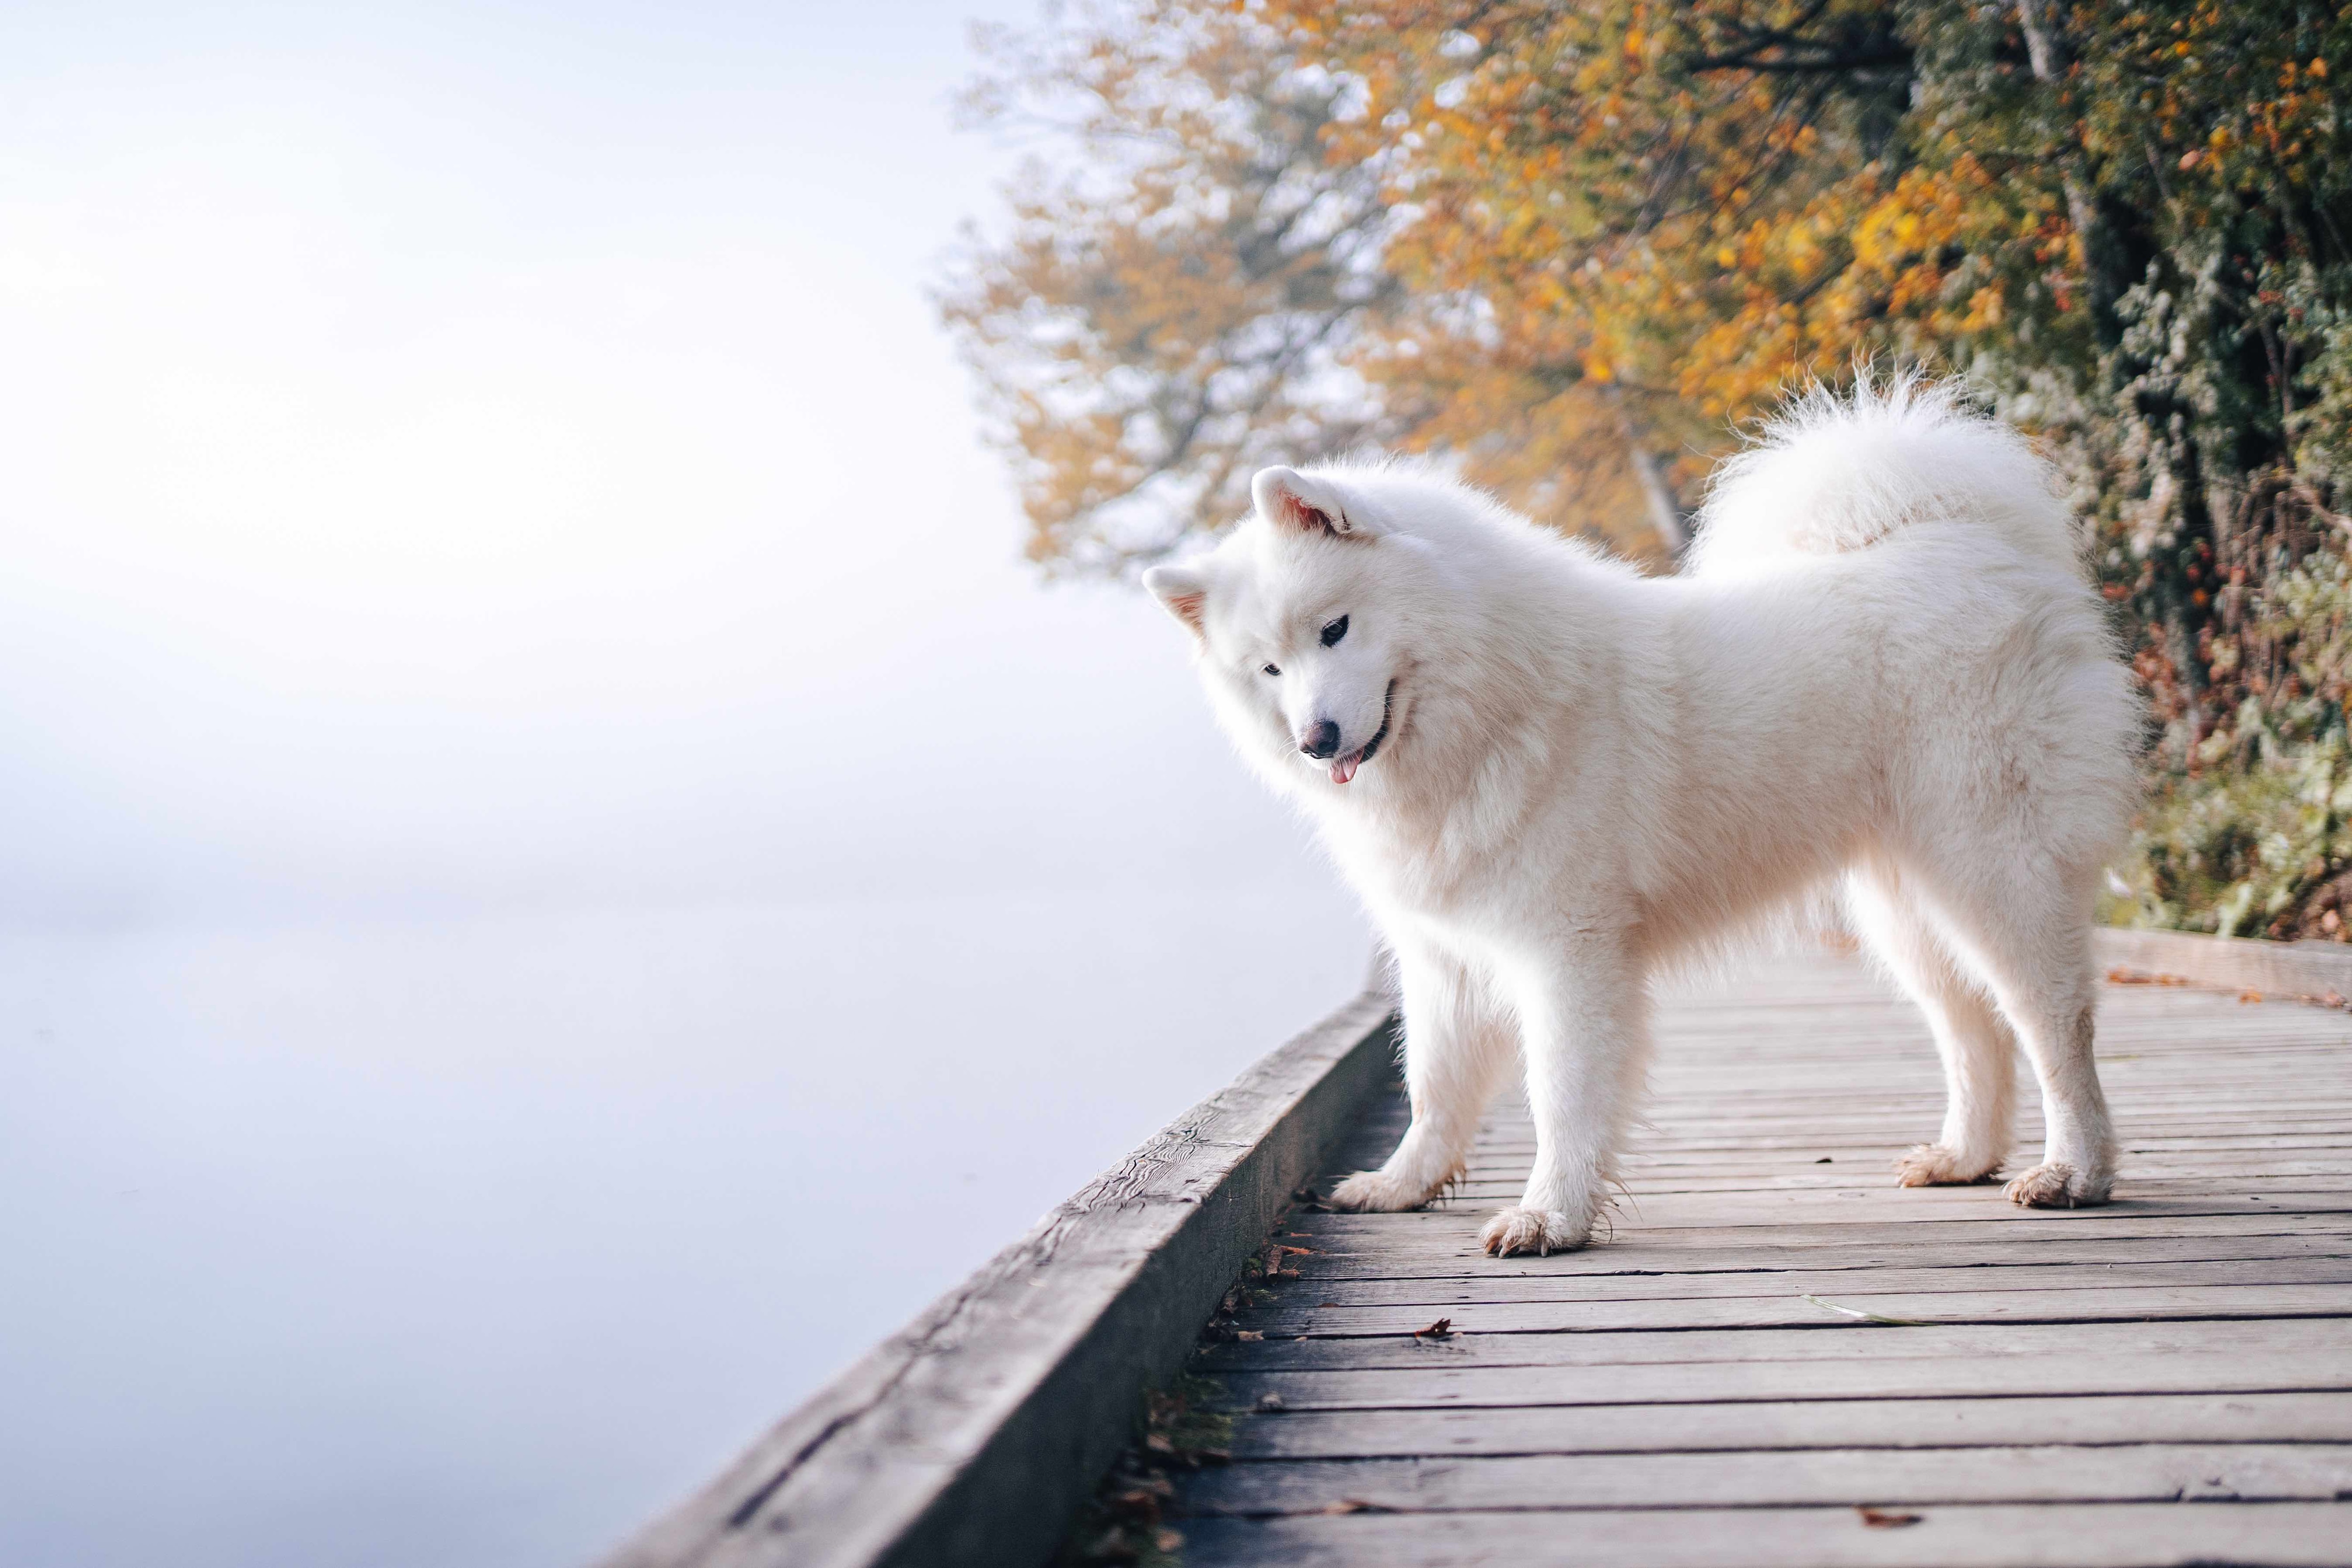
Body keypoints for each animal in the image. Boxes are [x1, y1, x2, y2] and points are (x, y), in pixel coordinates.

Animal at [1148, 383, 2145, 1260]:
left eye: (1335, 629)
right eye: (1268, 670)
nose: (1316, 739)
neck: (1492, 704)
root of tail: (1971, 540)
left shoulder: (1568, 951)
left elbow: (1560, 1093)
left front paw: (1550, 1218)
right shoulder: (1444, 954)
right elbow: (1432, 1085)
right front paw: (1403, 1184)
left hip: (1993, 867)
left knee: (2054, 1023)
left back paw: (2075, 1171)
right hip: (1906, 902)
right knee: (1971, 1027)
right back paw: (1965, 1158)